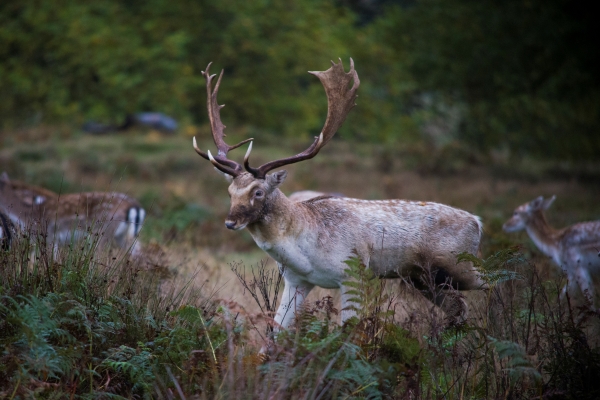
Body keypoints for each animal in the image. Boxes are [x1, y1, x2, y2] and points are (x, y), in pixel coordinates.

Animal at [0, 173, 145, 255]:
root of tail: (135, 206)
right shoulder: (53, 240)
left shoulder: (48, 236)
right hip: (121, 235)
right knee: (137, 251)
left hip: (103, 232)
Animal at [193, 57, 488, 332]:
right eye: (230, 191)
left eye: (258, 192)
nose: (230, 222)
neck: (305, 250)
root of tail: (477, 221)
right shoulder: (297, 281)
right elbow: (275, 332)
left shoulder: (353, 274)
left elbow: (349, 334)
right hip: (423, 278)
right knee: (458, 307)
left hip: (459, 264)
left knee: (494, 281)